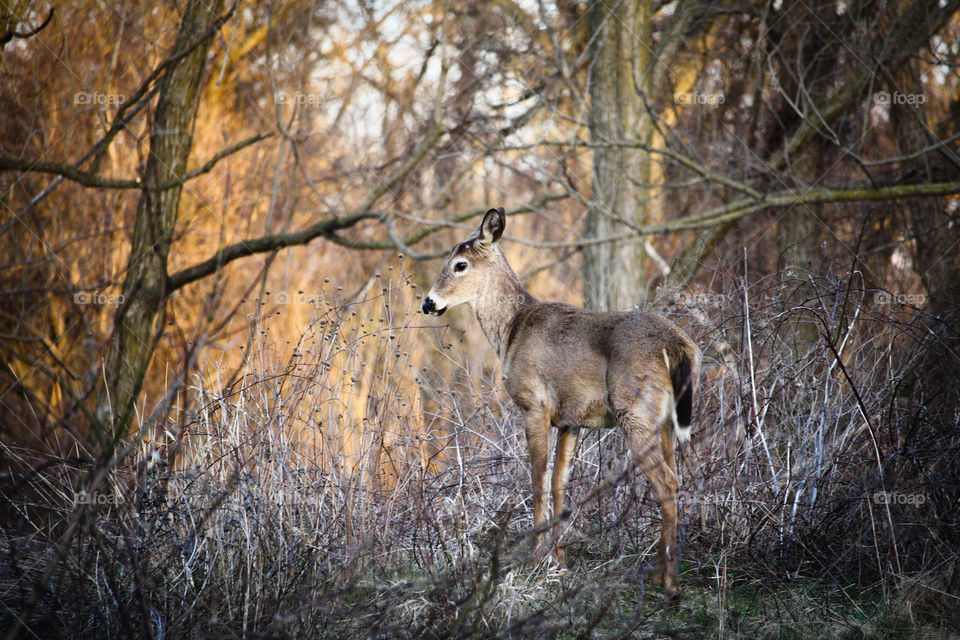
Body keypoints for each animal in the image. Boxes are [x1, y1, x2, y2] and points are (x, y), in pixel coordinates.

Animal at [421, 207, 701, 596]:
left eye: (460, 264)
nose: (428, 303)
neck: (511, 331)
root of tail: (678, 346)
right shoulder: (571, 418)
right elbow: (559, 484)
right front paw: (559, 558)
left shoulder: (533, 403)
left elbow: (537, 479)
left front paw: (535, 558)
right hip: (664, 419)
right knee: (673, 478)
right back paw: (662, 572)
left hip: (635, 409)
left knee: (667, 482)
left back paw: (669, 582)